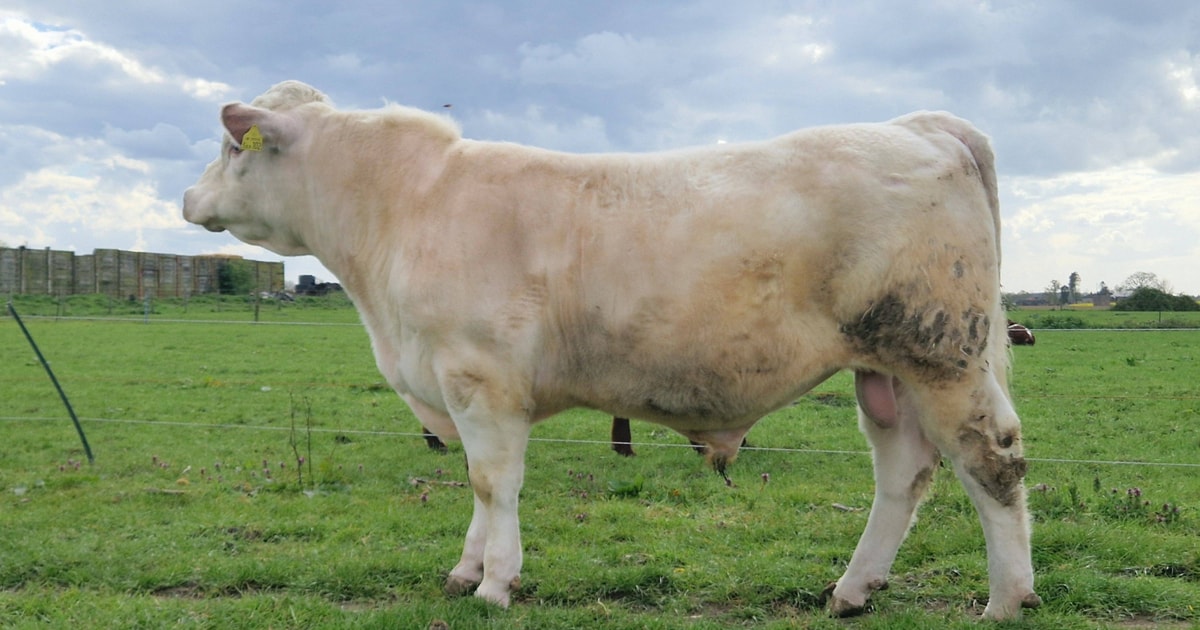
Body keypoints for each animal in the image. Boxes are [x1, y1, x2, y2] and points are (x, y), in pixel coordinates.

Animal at [182, 81, 1040, 620]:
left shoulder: (481, 380)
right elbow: (478, 490)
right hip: (882, 371)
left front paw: (496, 584)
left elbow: (493, 483)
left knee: (991, 462)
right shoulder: (462, 389)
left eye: (230, 149)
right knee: (904, 474)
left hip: (943, 356)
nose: (188, 198)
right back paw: (854, 589)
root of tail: (916, 124)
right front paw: (465, 570)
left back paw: (1004, 600)